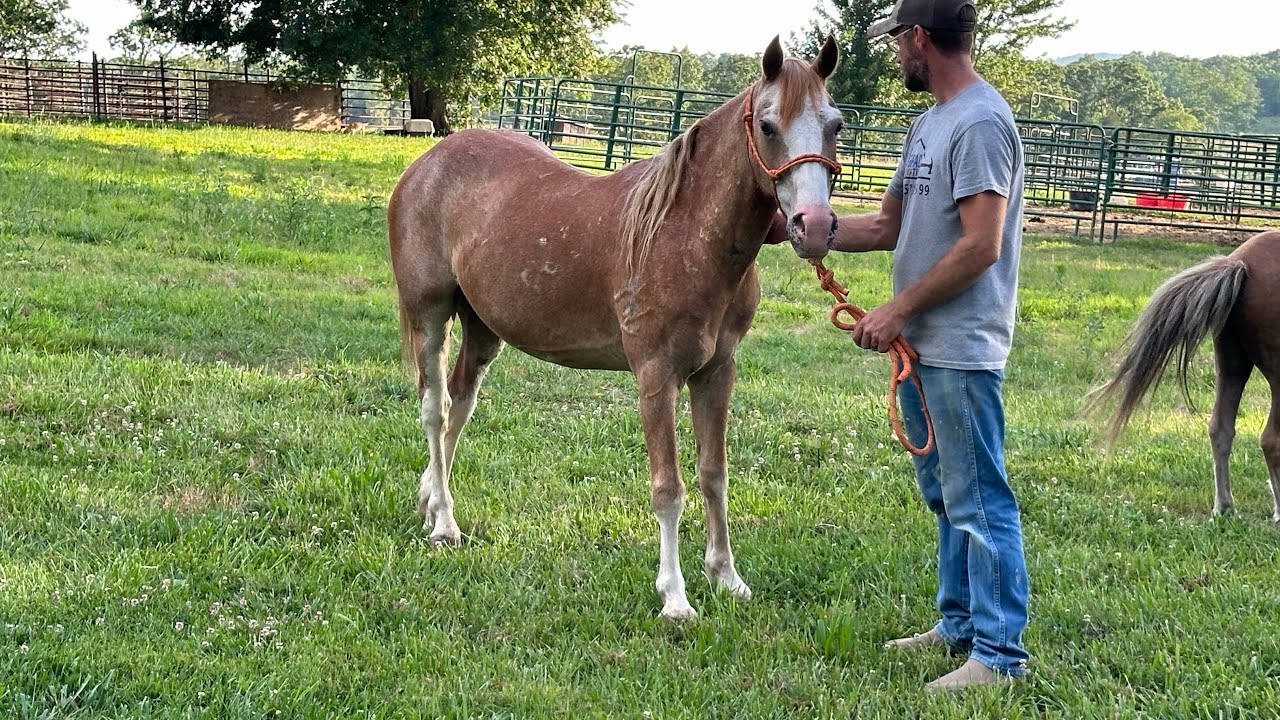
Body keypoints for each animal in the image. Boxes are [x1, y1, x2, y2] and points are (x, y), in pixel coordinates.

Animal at [387, 36, 844, 619]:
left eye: (834, 124)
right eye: (767, 125)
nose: (815, 226)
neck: (683, 235)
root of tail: (427, 162)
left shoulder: (717, 373)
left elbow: (714, 475)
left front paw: (726, 577)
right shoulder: (656, 376)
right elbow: (669, 488)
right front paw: (675, 597)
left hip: (483, 328)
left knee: (459, 408)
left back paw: (429, 500)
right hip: (429, 315)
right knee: (435, 410)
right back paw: (444, 523)